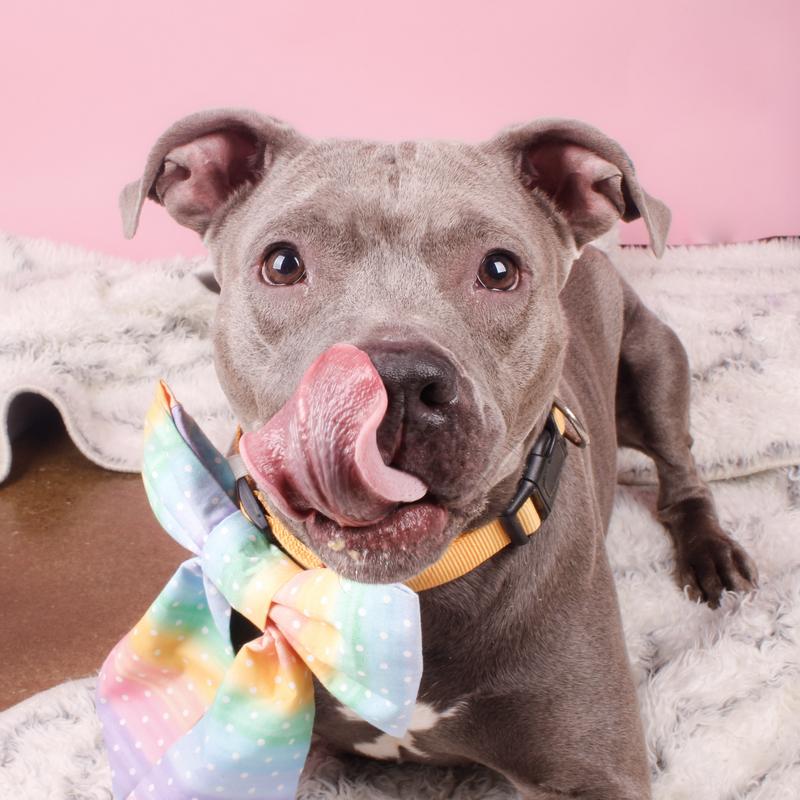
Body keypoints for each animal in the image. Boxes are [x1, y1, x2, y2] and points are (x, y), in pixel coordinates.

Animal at [120, 109, 758, 799]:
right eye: (283, 263)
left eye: (500, 269)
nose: (392, 383)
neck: (410, 599)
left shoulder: (595, 772)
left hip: (656, 363)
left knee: (682, 472)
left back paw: (714, 558)